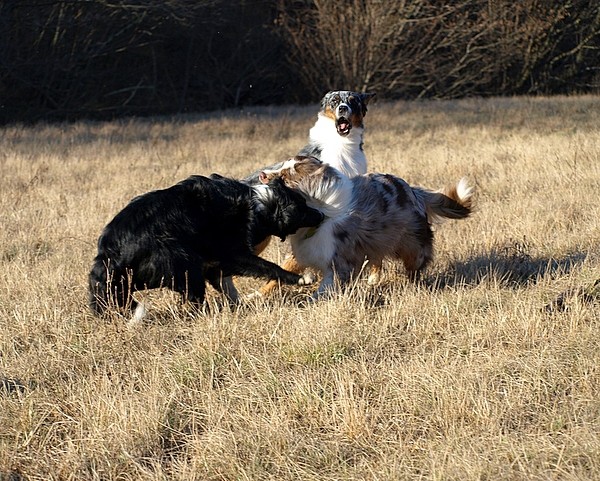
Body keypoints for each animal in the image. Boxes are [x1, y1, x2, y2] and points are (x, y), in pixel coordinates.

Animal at [88, 172, 324, 316]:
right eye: (303, 206)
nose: (321, 215)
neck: (260, 204)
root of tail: (108, 256)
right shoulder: (233, 254)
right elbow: (270, 267)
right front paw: (301, 278)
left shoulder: (215, 264)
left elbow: (228, 287)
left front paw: (240, 306)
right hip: (183, 262)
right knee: (194, 298)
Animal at [258, 158, 474, 298]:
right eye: (281, 167)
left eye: (285, 177)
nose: (261, 174)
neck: (319, 212)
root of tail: (414, 191)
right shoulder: (304, 250)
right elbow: (278, 274)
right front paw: (257, 295)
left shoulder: (341, 263)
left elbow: (325, 288)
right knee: (377, 259)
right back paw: (373, 279)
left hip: (410, 245)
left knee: (414, 266)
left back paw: (412, 284)